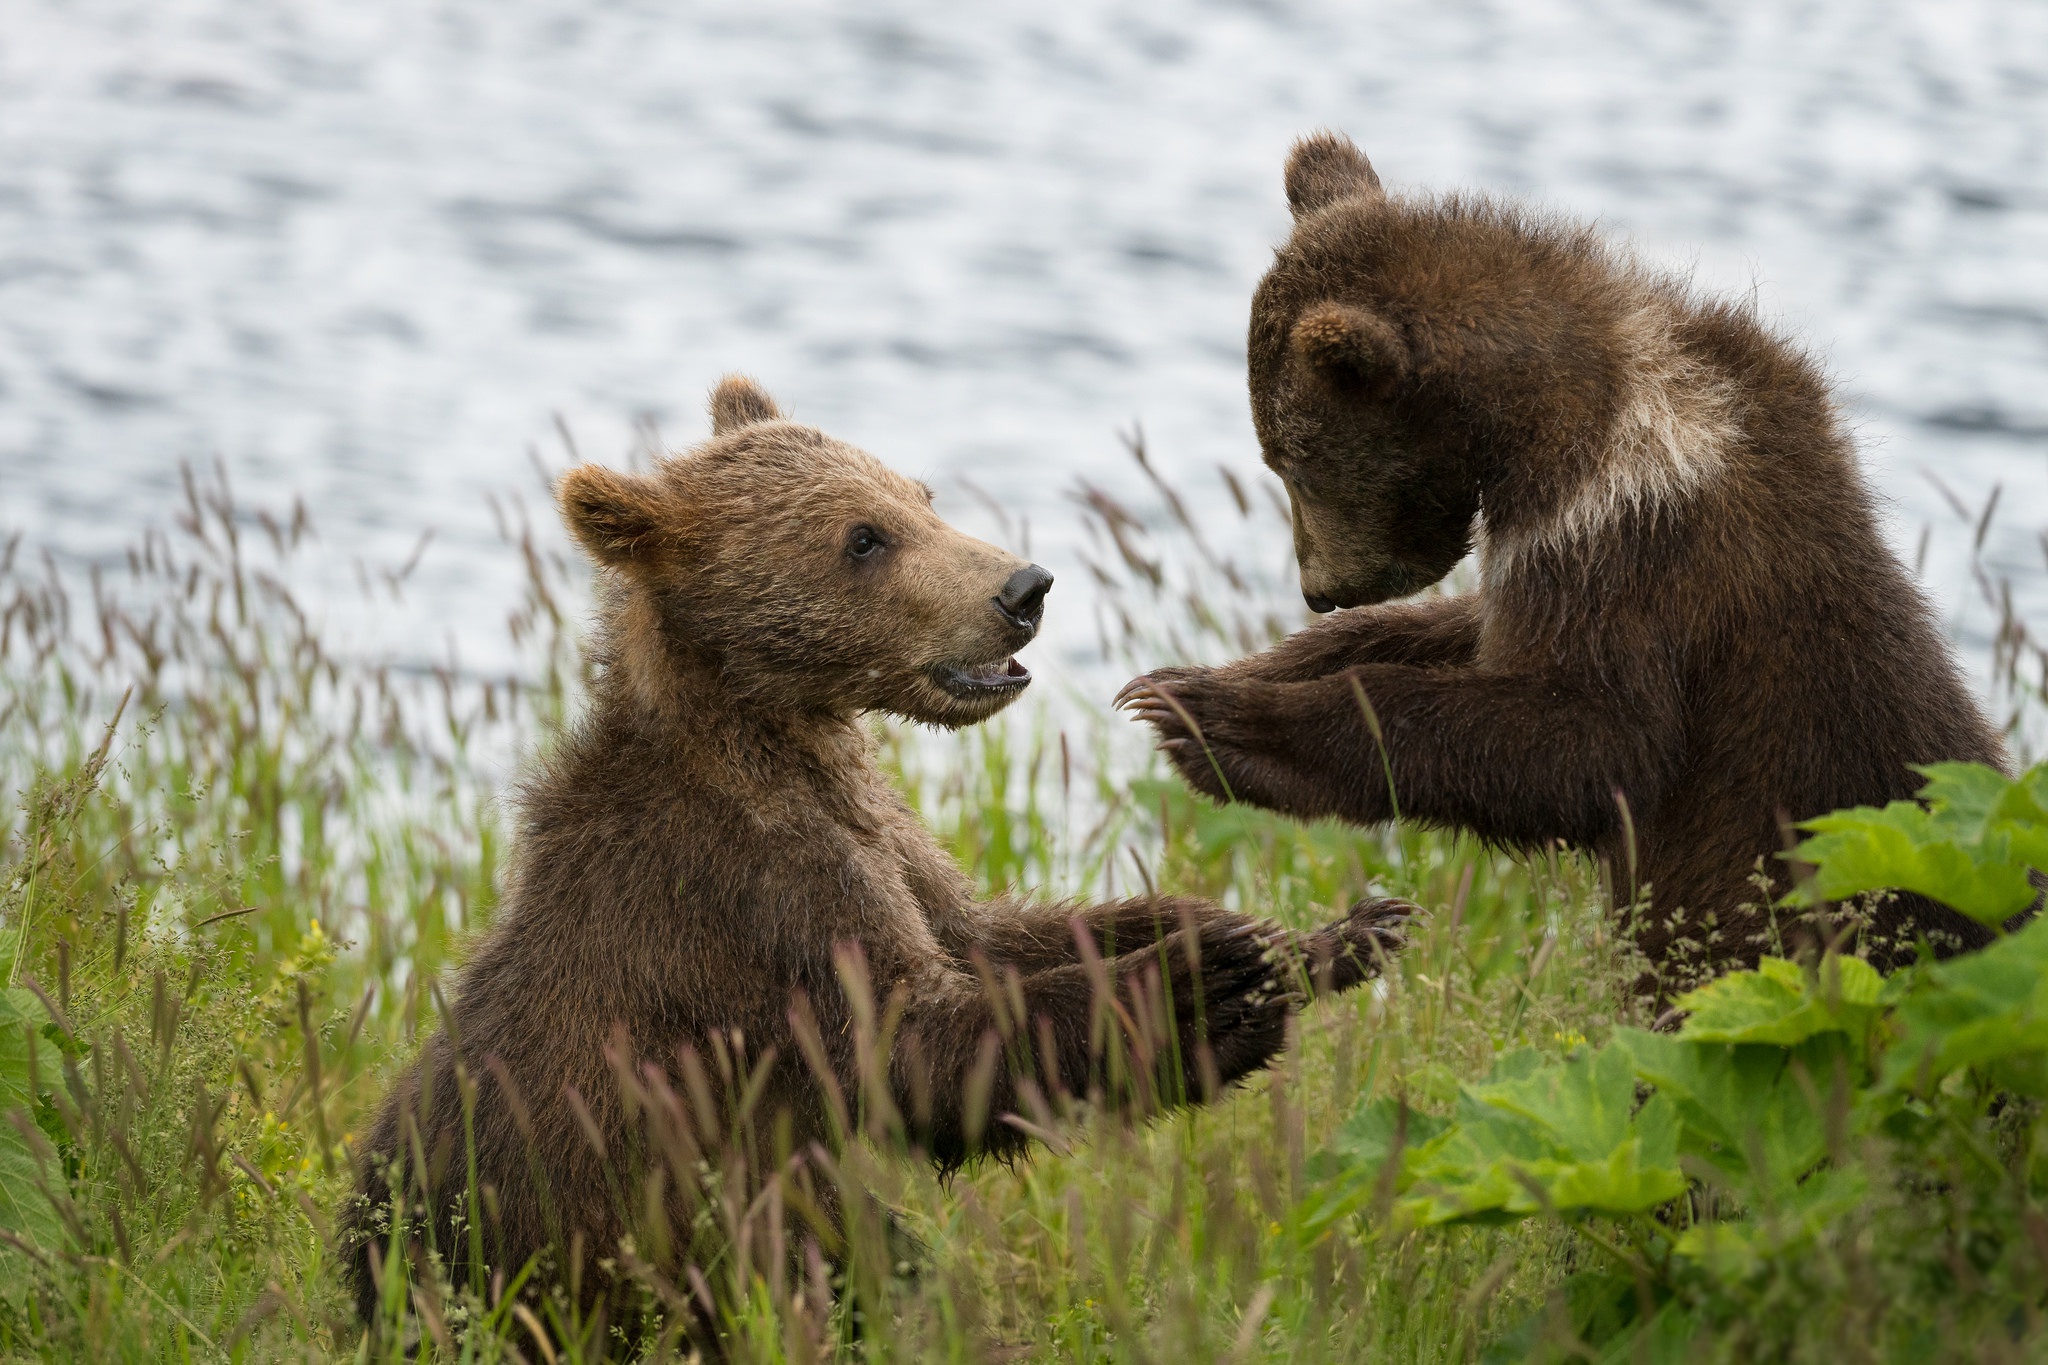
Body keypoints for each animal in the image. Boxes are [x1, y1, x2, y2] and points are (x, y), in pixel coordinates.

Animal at [348, 376, 1409, 1334]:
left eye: (920, 495)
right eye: (862, 537)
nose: (1024, 587)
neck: (780, 743)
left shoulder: (888, 845)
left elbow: (986, 936)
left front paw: (1311, 932)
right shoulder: (752, 897)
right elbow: (921, 1041)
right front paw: (1201, 984)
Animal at [1122, 136, 1998, 982]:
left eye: (1292, 463)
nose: (1319, 588)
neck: (1536, 433)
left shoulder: (1634, 543)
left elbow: (1588, 737)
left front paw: (1216, 722)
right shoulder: (1552, 547)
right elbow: (1464, 638)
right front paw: (1195, 678)